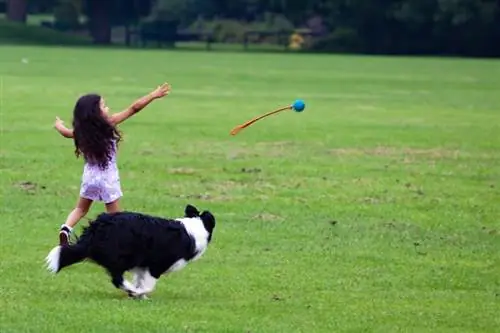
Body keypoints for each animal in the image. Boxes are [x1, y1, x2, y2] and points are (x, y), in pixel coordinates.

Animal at [47, 202, 217, 298]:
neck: (195, 226)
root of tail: (98, 226)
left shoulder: (142, 265)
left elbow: (140, 280)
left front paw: (139, 295)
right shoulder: (156, 264)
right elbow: (148, 285)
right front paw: (138, 292)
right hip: (124, 256)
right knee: (117, 278)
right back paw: (130, 289)